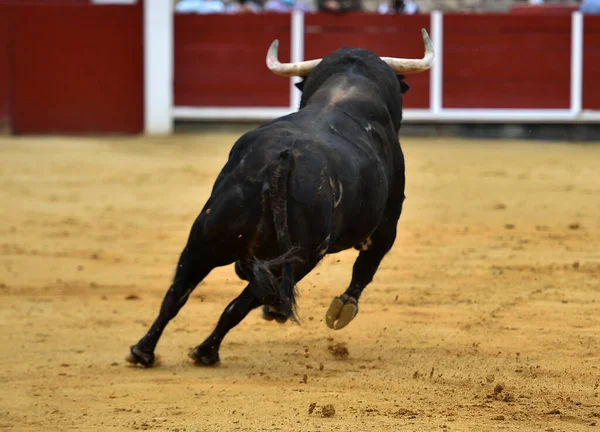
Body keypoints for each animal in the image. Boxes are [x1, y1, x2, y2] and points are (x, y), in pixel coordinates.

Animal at [127, 29, 436, 368]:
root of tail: (282, 160)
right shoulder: (385, 227)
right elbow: (366, 268)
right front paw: (343, 307)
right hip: (302, 256)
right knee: (238, 304)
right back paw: (206, 351)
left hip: (204, 237)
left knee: (177, 293)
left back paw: (143, 351)